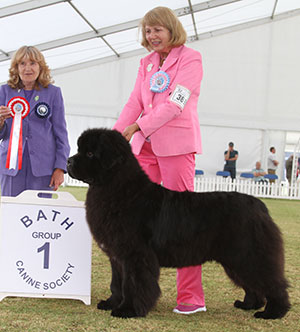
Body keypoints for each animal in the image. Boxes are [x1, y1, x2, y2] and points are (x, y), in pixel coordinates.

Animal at [68, 127, 290, 320]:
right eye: (80, 150)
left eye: (90, 153)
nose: (69, 161)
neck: (119, 190)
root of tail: (259, 206)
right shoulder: (117, 255)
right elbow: (117, 283)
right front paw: (111, 303)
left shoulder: (135, 254)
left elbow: (133, 283)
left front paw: (128, 310)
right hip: (236, 259)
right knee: (252, 283)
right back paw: (249, 304)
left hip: (249, 255)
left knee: (273, 282)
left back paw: (273, 312)